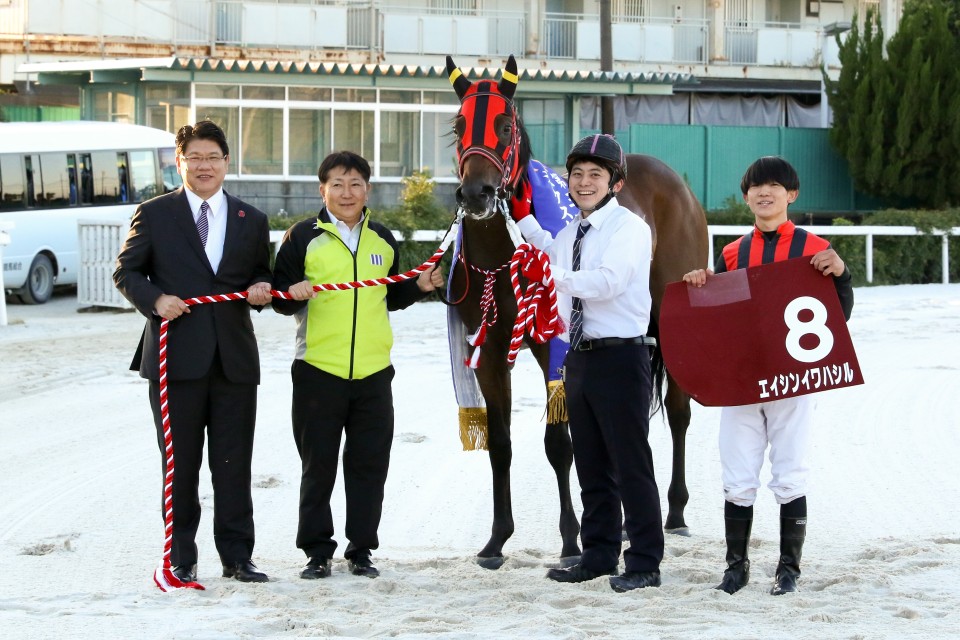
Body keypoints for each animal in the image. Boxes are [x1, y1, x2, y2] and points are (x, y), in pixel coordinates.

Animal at [444, 54, 708, 569]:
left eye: (506, 126)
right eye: (459, 125)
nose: (477, 194)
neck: (503, 253)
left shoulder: (555, 345)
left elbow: (559, 445)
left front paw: (571, 540)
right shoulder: (488, 351)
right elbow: (501, 444)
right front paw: (497, 541)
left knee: (678, 411)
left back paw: (675, 511)